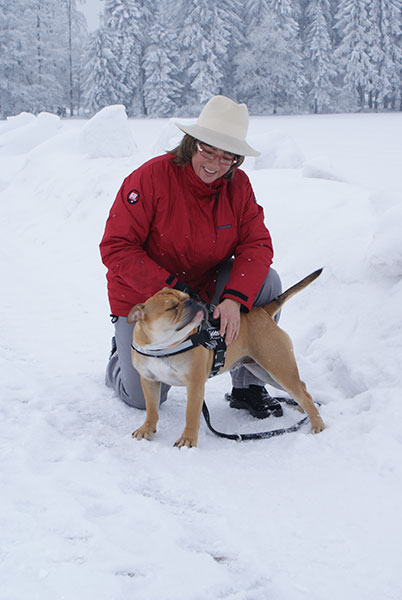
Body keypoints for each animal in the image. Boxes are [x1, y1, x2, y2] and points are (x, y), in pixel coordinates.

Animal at [129, 270, 326, 446]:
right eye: (171, 307)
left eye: (186, 297)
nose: (192, 300)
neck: (163, 347)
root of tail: (262, 311)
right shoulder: (149, 381)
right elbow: (151, 409)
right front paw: (147, 429)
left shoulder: (195, 384)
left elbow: (191, 414)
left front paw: (188, 440)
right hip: (265, 371)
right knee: (303, 389)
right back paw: (303, 411)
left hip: (279, 367)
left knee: (303, 394)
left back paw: (317, 425)